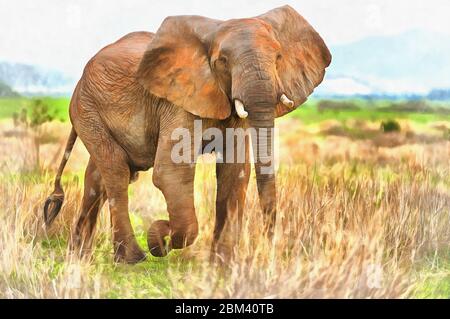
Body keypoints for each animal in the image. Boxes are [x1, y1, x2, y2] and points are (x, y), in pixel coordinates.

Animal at [43, 5, 330, 264]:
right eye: (222, 61)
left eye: (279, 57)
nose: (271, 246)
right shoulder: (176, 101)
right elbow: (171, 173)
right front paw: (160, 235)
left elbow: (234, 173)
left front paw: (222, 266)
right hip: (86, 109)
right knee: (116, 171)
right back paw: (131, 259)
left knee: (97, 177)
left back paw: (78, 257)